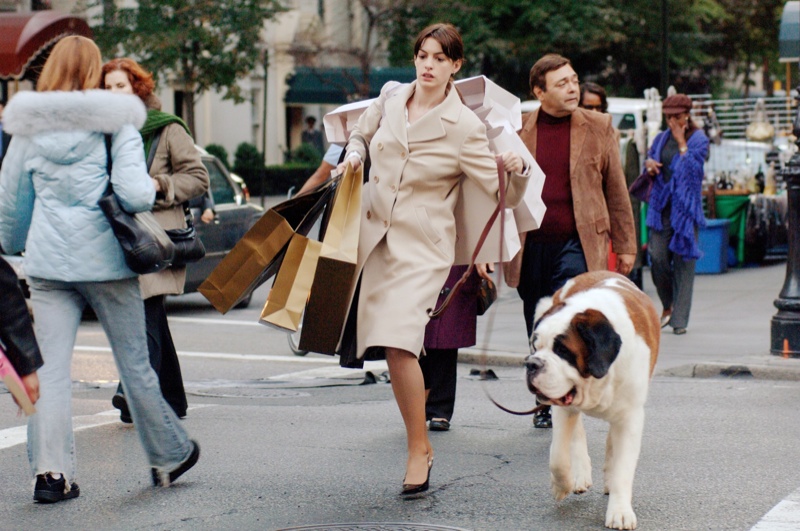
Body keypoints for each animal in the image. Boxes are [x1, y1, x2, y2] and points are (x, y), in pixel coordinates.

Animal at [524, 272, 656, 528]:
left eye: (562, 350)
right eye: (536, 346)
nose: (532, 363)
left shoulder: (630, 417)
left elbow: (623, 467)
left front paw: (620, 511)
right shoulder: (562, 406)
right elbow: (557, 456)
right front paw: (561, 485)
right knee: (576, 433)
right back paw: (579, 474)